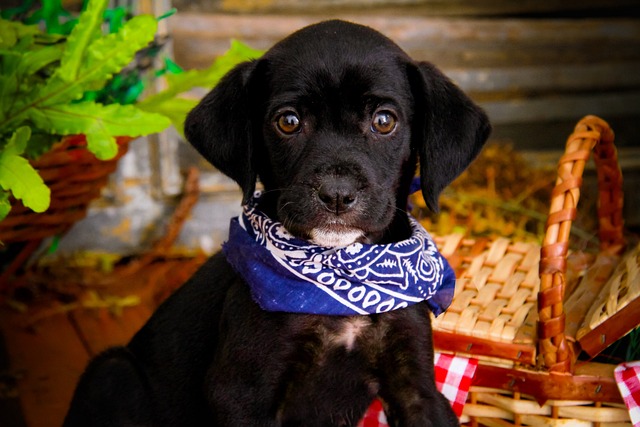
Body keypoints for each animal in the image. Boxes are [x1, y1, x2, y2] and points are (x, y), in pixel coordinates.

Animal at [63, 18, 490, 426]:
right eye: (288, 121)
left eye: (384, 121)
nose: (337, 194)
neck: (337, 286)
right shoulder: (240, 393)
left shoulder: (416, 386)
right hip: (113, 372)